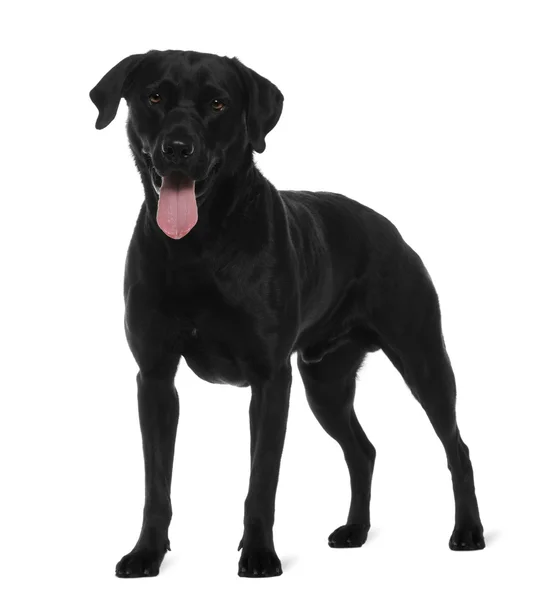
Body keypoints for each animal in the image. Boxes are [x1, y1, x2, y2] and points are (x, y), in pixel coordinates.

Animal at [89, 50, 484, 576]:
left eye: (218, 103)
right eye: (154, 97)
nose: (177, 149)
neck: (199, 246)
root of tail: (392, 230)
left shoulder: (270, 378)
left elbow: (262, 479)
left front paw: (259, 555)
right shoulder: (154, 377)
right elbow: (157, 483)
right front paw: (146, 553)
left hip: (423, 360)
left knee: (456, 448)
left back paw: (469, 532)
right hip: (326, 383)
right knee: (363, 451)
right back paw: (355, 530)